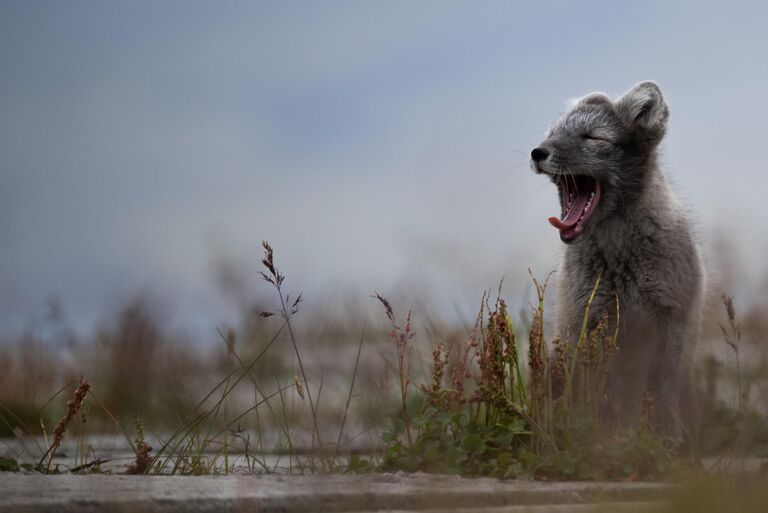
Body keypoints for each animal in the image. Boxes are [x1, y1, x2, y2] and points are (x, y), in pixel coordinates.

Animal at [532, 80, 704, 440]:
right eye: (552, 133)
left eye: (592, 137)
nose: (537, 152)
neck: (621, 257)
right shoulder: (594, 320)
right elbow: (607, 390)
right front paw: (613, 437)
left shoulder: (673, 315)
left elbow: (660, 382)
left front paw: (665, 436)